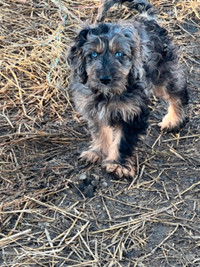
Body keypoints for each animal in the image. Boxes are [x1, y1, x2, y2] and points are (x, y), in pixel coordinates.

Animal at [68, 0, 188, 180]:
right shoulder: (93, 109)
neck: (108, 94)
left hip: (163, 73)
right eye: (93, 55)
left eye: (119, 54)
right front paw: (97, 153)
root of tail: (147, 18)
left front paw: (118, 165)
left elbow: (123, 141)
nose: (105, 79)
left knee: (178, 93)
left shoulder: (133, 112)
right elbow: (100, 132)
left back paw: (174, 120)